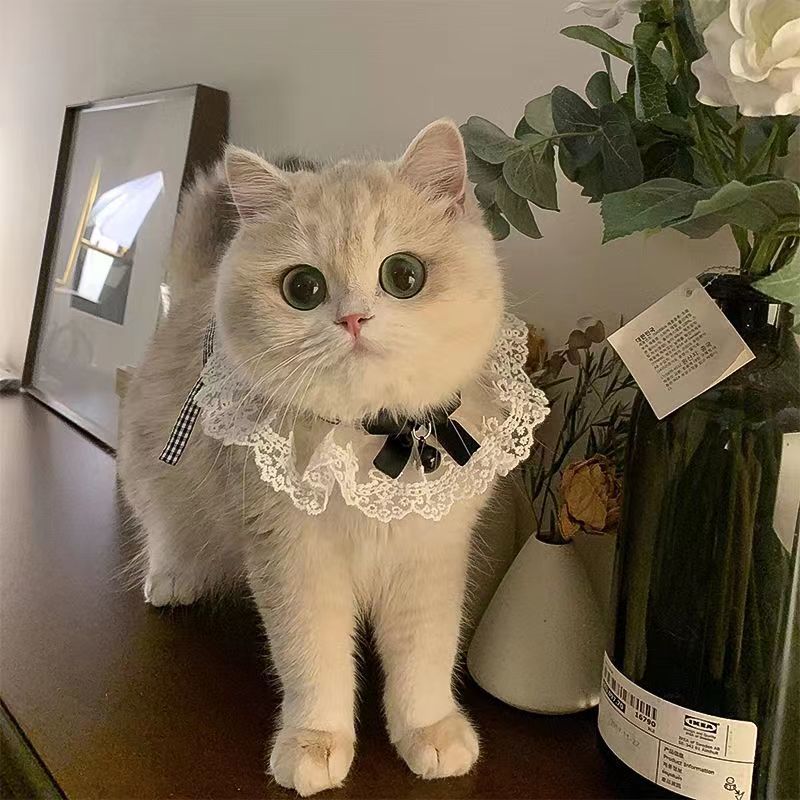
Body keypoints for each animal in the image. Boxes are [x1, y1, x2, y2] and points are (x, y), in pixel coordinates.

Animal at [117, 119, 506, 796]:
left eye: (404, 276)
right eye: (304, 288)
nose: (353, 319)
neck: (369, 444)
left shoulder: (429, 559)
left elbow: (425, 657)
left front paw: (429, 732)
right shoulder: (295, 560)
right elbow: (314, 660)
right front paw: (314, 744)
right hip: (153, 474)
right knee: (163, 528)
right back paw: (171, 580)